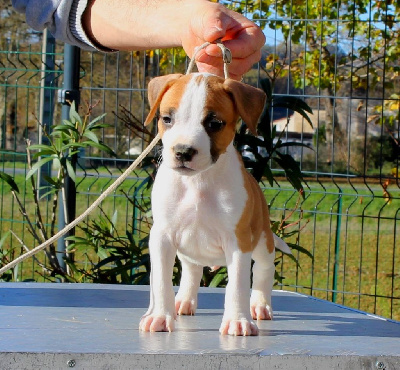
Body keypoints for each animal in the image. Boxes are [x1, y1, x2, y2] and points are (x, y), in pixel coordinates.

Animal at [139, 72, 290, 336]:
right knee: (191, 270)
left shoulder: (238, 241)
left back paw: (260, 305)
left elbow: (238, 284)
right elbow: (160, 281)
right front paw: (159, 316)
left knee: (263, 270)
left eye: (214, 124)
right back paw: (183, 301)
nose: (183, 151)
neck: (198, 182)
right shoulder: (162, 237)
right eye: (167, 119)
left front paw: (238, 321)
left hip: (262, 240)